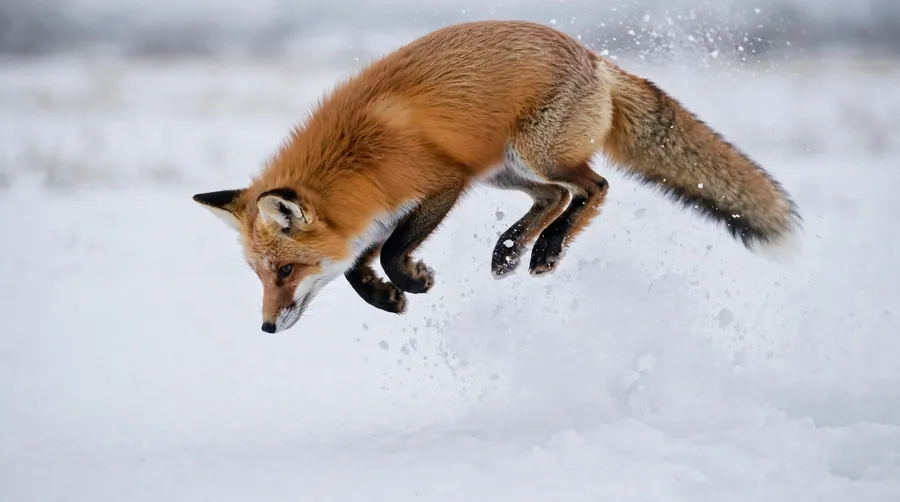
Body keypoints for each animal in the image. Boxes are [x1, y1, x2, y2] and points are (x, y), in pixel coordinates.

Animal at [193, 20, 801, 334]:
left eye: (286, 270)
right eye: (259, 274)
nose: (266, 328)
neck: (358, 160)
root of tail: (592, 56)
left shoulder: (443, 183)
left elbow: (390, 250)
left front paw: (410, 280)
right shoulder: (382, 211)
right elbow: (359, 266)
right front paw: (387, 297)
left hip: (532, 155)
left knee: (595, 187)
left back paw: (546, 249)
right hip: (506, 173)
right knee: (556, 197)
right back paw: (511, 250)